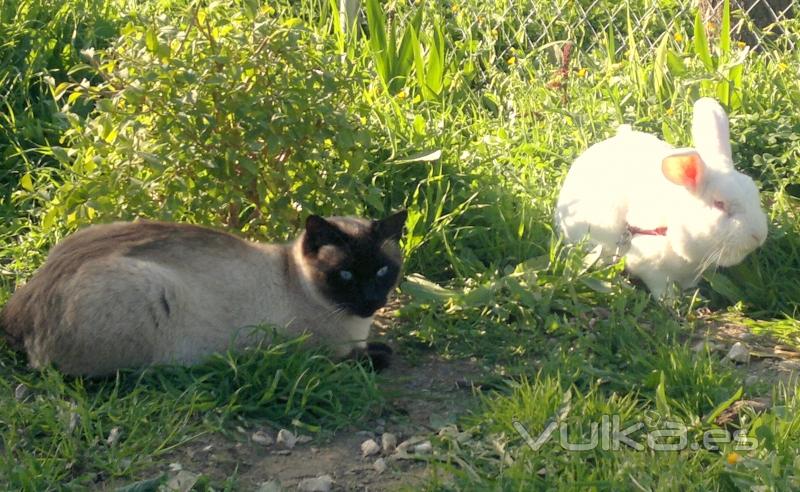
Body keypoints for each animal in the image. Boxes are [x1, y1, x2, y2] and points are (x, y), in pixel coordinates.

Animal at [0, 211, 404, 376]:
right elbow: (370, 356)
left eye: (383, 271)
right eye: (346, 274)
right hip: (150, 292)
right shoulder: (305, 355)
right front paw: (380, 353)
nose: (372, 301)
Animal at [556, 96, 768, 296]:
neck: (668, 228)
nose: (758, 236)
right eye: (719, 204)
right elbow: (662, 292)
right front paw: (672, 303)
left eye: (754, 194)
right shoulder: (653, 271)